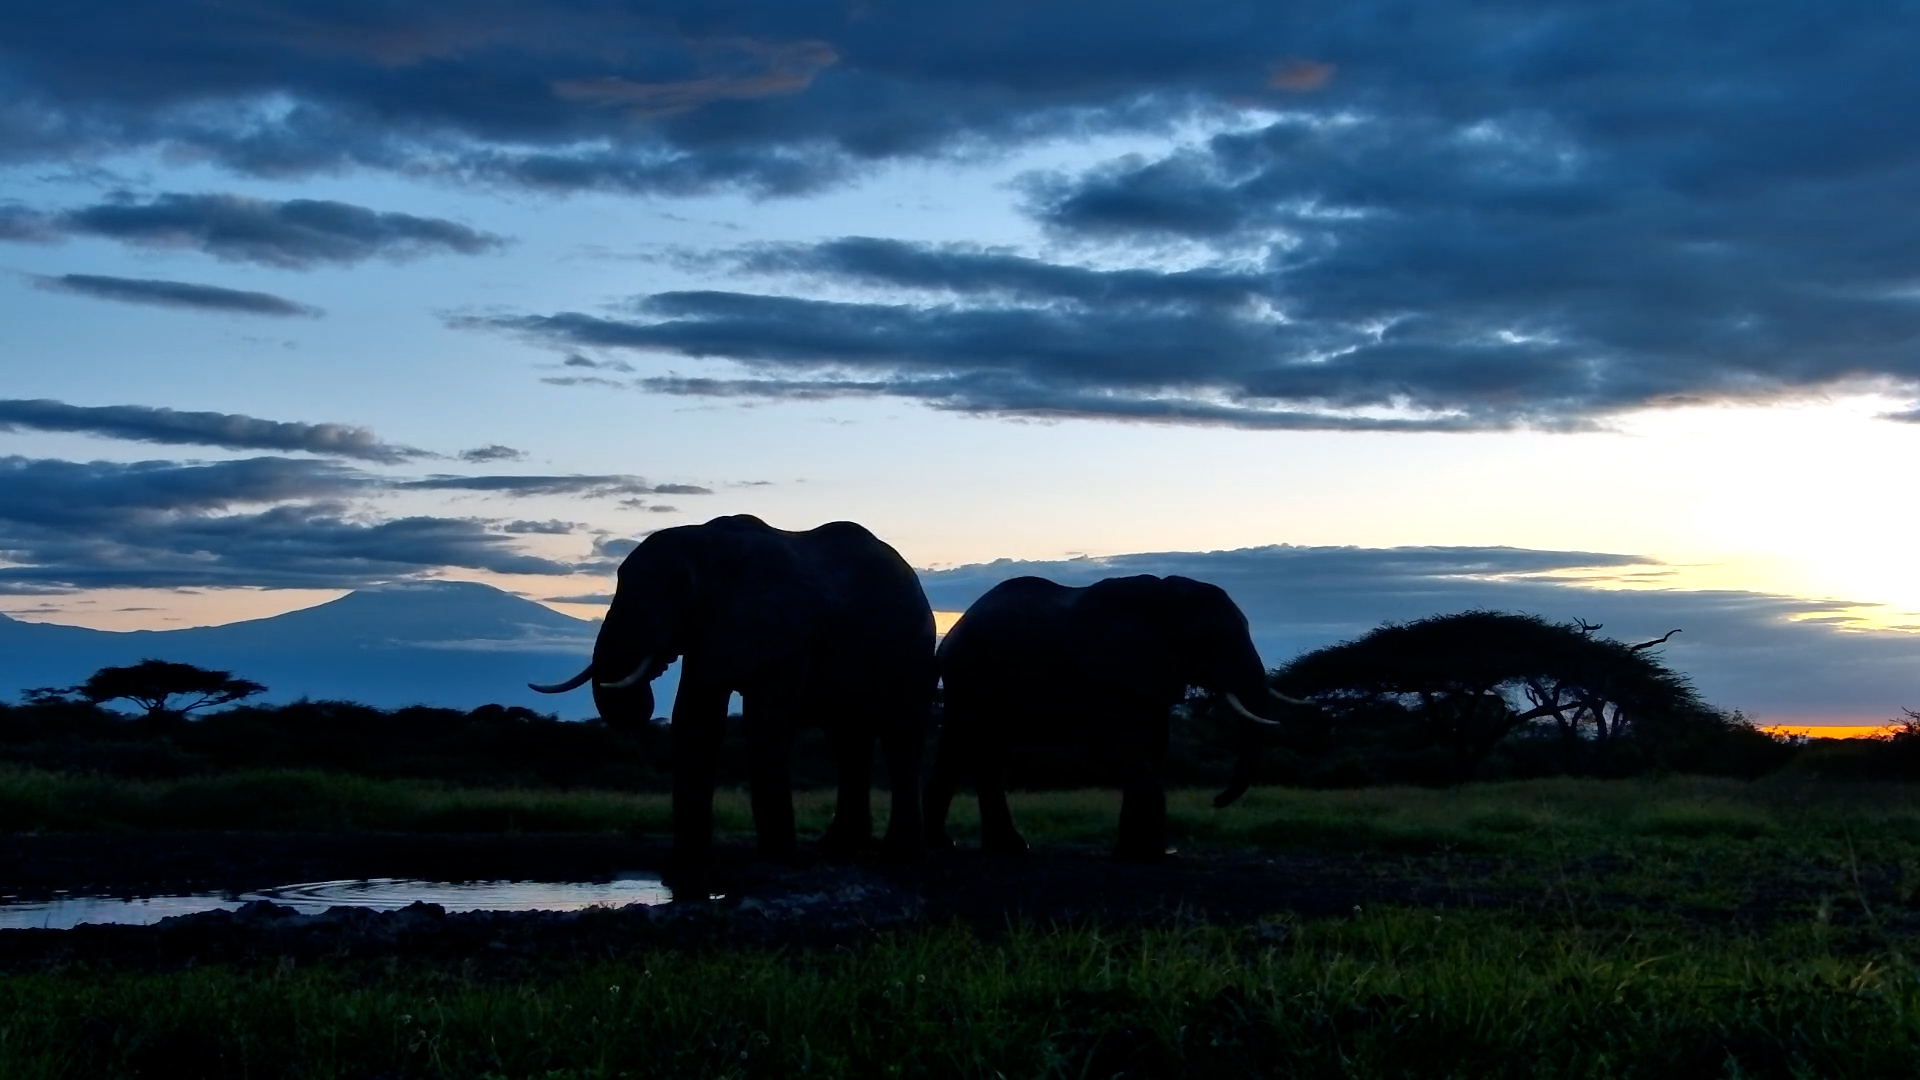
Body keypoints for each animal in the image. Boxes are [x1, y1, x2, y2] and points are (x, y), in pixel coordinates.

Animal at [529, 515, 935, 869]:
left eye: (681, 590)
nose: (657, 662)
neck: (712, 544)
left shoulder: (787, 634)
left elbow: (764, 723)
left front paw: (778, 862)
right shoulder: (712, 629)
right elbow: (694, 719)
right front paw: (685, 867)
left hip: (915, 646)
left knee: (901, 735)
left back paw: (899, 855)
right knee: (849, 742)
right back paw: (836, 850)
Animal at [924, 574, 1302, 861]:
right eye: (1209, 637)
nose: (1216, 801)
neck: (1160, 596)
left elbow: (1154, 744)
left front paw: (1137, 851)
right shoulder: (1100, 674)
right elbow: (1117, 746)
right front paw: (1150, 855)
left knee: (970, 752)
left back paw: (987, 847)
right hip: (972, 678)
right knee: (977, 749)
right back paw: (976, 847)